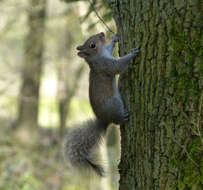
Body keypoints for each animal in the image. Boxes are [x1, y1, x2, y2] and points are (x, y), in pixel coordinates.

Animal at [63, 32, 140, 177]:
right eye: (92, 45)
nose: (102, 33)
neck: (98, 56)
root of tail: (104, 120)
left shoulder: (107, 54)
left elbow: (109, 49)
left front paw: (114, 39)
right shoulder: (105, 65)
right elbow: (118, 66)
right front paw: (132, 54)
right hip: (114, 104)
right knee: (117, 120)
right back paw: (123, 117)